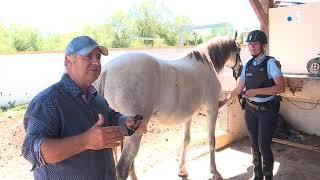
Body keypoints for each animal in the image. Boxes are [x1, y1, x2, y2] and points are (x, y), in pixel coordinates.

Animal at [94, 37, 241, 180]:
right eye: (239, 50)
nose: (240, 69)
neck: (206, 62)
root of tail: (107, 70)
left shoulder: (189, 115)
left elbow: (186, 140)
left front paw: (182, 170)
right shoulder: (212, 110)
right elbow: (211, 140)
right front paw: (214, 172)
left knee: (129, 165)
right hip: (134, 133)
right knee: (123, 167)